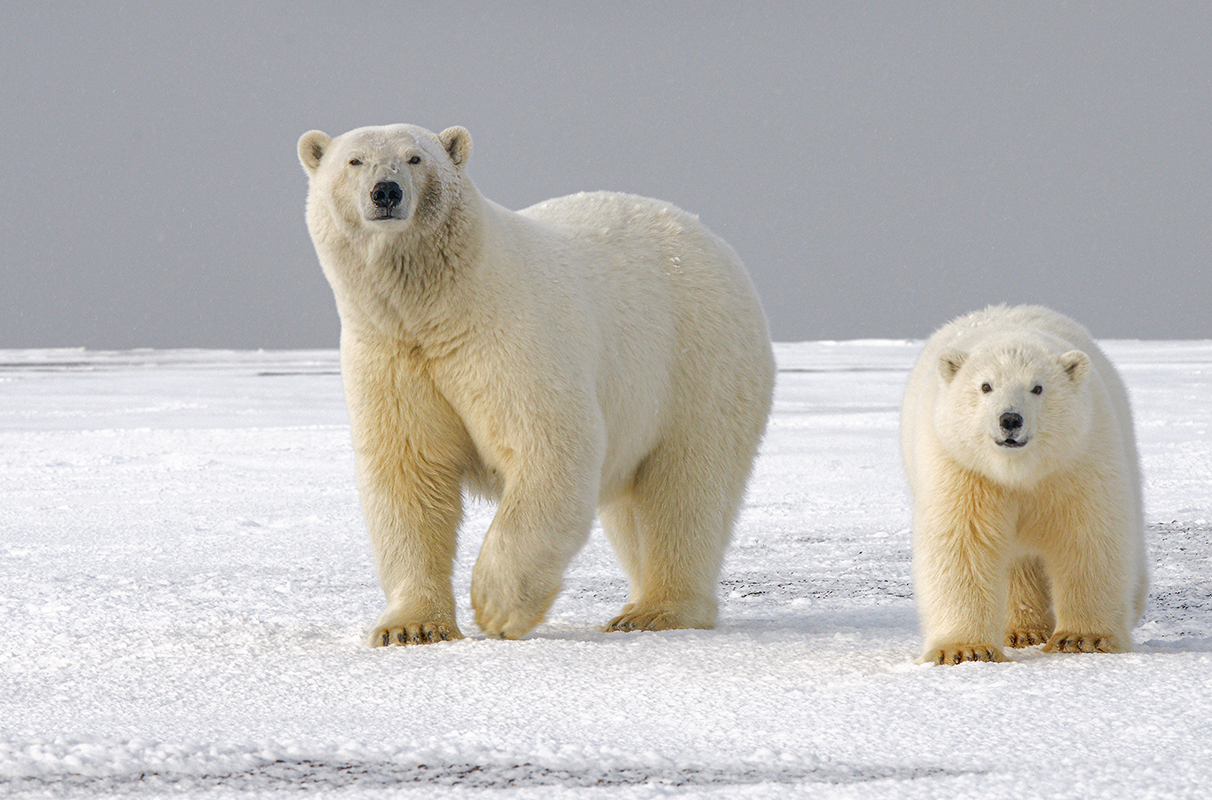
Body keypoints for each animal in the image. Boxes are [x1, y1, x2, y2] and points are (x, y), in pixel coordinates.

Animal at [297, 123, 775, 646]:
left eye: (415, 158)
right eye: (355, 161)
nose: (386, 192)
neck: (438, 308)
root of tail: (713, 240)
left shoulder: (508, 336)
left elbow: (549, 444)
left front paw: (495, 606)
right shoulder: (390, 355)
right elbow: (409, 473)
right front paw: (410, 627)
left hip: (697, 362)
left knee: (685, 487)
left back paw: (656, 610)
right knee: (634, 509)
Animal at [900, 304, 1147, 665]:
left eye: (1038, 388)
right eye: (985, 386)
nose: (1010, 419)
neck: (1019, 471)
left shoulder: (1077, 460)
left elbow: (1088, 536)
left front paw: (1082, 639)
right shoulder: (963, 468)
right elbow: (962, 543)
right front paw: (964, 649)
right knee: (1019, 564)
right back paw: (1022, 630)